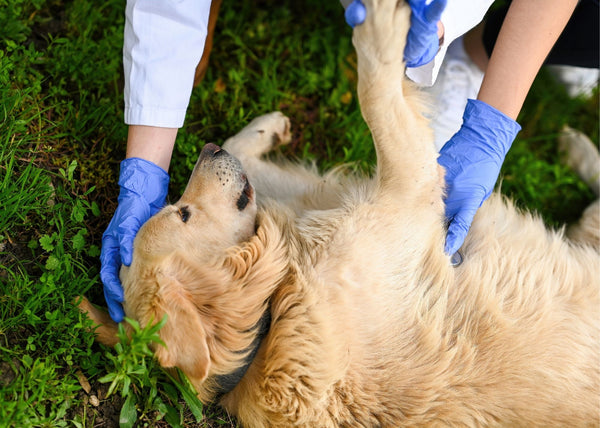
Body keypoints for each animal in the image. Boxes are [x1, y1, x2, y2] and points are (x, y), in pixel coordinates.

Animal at [81, 1, 600, 426]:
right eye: (184, 214)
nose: (204, 147)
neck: (273, 310)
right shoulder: (409, 189)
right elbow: (376, 96)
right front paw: (383, 29)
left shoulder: (310, 200)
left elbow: (248, 159)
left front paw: (263, 129)